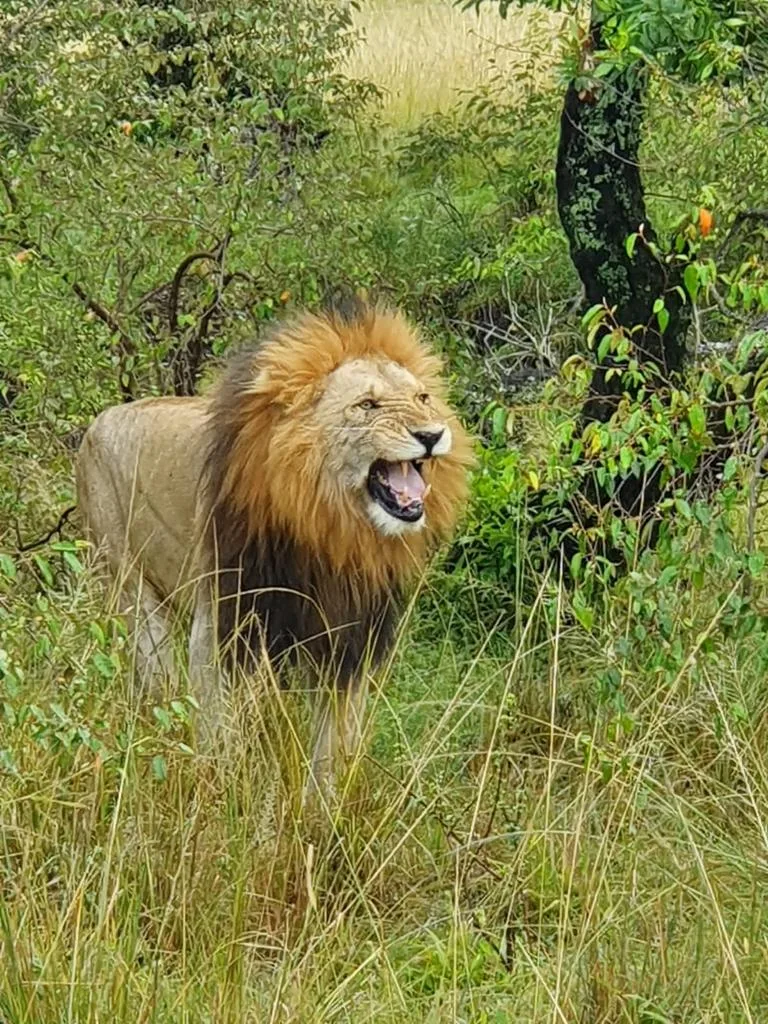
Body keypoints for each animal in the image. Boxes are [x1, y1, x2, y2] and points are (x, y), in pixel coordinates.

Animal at [76, 298, 473, 793]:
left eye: (422, 398)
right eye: (367, 405)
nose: (431, 435)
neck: (328, 531)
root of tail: (96, 422)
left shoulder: (351, 635)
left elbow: (334, 742)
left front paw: (323, 806)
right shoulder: (227, 620)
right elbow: (221, 731)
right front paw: (226, 793)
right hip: (128, 583)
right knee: (158, 679)